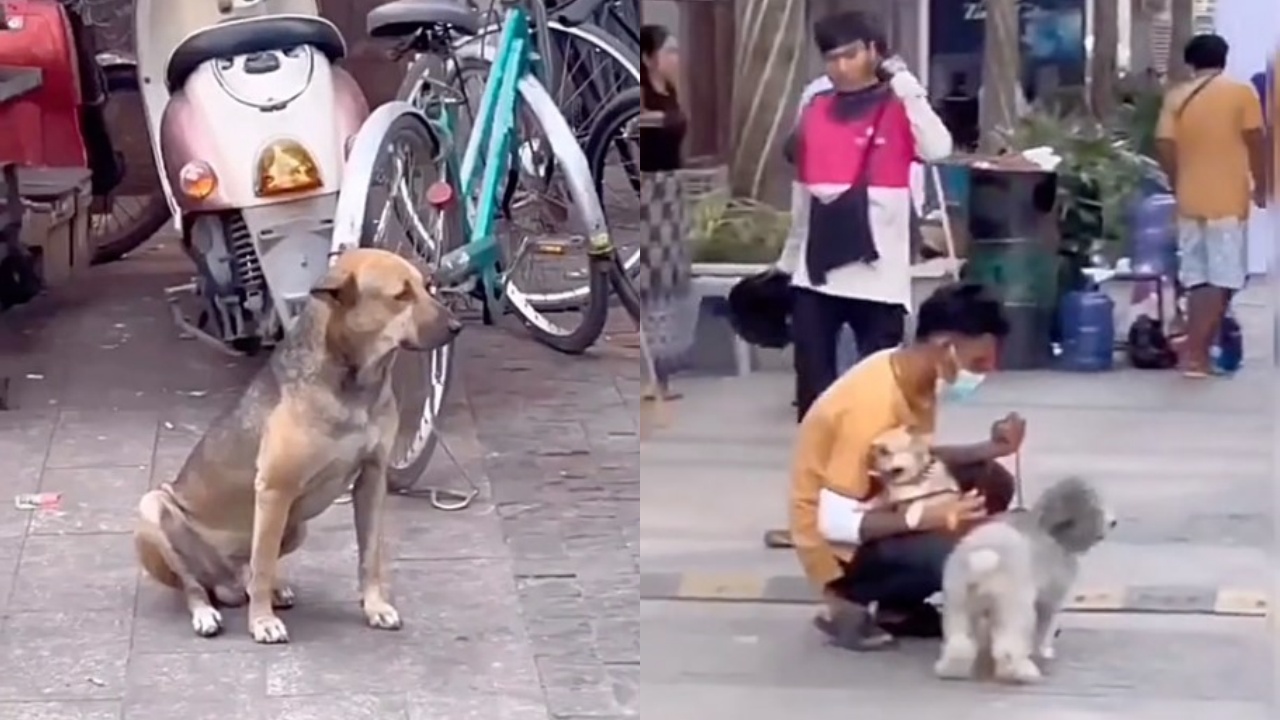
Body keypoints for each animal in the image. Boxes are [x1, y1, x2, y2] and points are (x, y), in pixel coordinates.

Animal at [133, 245, 460, 638]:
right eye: (401, 295)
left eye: (428, 286)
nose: (457, 327)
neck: (355, 385)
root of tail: (224, 583)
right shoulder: (275, 490)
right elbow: (261, 563)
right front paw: (261, 622)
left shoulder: (372, 479)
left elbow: (369, 556)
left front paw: (375, 607)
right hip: (153, 509)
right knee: (196, 584)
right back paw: (207, 612)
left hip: (296, 527)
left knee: (250, 572)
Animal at [931, 474, 1111, 681]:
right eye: (1096, 506)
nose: (1113, 522)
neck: (1046, 528)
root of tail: (984, 558)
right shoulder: (1049, 600)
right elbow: (1044, 627)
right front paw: (1043, 651)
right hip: (1013, 604)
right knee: (1008, 646)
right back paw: (1022, 672)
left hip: (958, 601)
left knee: (960, 643)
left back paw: (952, 669)